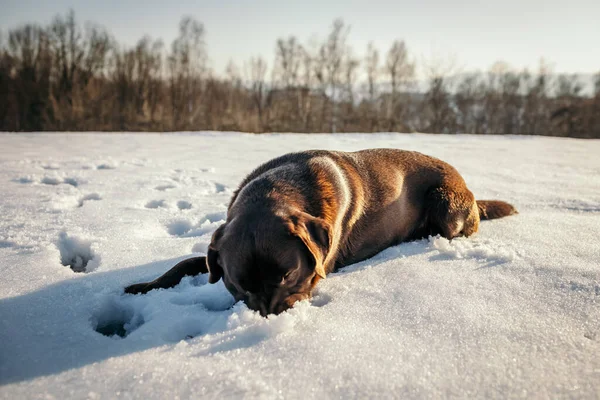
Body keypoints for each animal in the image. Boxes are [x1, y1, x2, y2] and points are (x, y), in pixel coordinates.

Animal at [125, 149, 516, 316]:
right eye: (239, 285)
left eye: (288, 274)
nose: (270, 316)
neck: (278, 189)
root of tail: (469, 188)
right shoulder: (216, 254)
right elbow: (184, 264)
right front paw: (142, 287)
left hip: (445, 201)